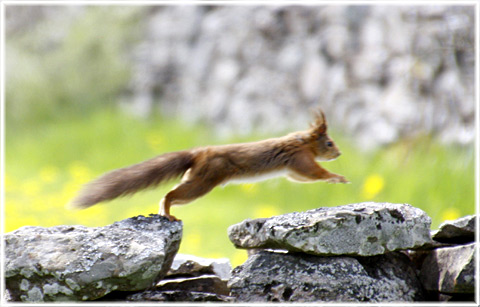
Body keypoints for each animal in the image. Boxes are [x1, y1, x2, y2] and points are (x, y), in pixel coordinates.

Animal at [72, 110, 348, 221]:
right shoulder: (300, 159)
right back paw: (167, 212)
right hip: (202, 183)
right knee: (171, 194)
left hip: (198, 179)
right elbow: (315, 172)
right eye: (329, 143)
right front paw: (339, 177)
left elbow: (300, 178)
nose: (339, 153)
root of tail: (199, 153)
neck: (303, 141)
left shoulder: (292, 169)